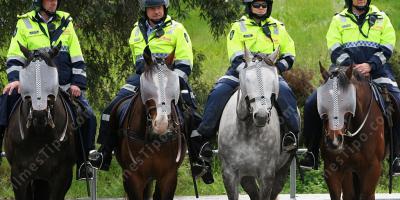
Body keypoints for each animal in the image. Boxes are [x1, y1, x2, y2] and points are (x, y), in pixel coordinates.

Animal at [217, 48, 296, 200]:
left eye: (273, 80)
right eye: (247, 80)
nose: (261, 116)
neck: (247, 131)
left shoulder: (267, 175)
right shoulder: (229, 175)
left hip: (283, 169)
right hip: (246, 177)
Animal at [318, 64, 386, 200]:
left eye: (347, 100)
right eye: (323, 99)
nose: (334, 141)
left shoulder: (373, 169)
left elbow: (366, 195)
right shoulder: (333, 169)